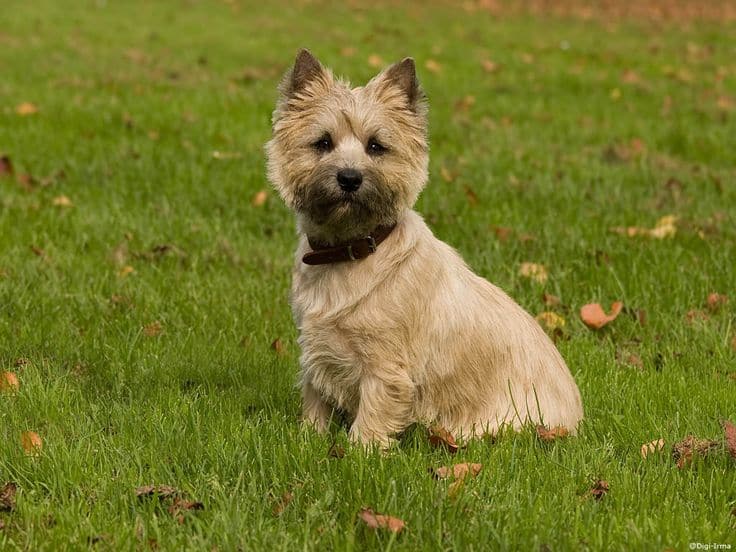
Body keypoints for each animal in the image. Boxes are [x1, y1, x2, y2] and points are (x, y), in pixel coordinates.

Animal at [268, 49, 584, 446]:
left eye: (376, 146)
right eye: (322, 142)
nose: (350, 178)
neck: (351, 250)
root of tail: (575, 420)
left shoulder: (385, 365)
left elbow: (372, 415)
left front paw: (360, 450)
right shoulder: (316, 349)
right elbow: (315, 398)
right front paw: (308, 438)